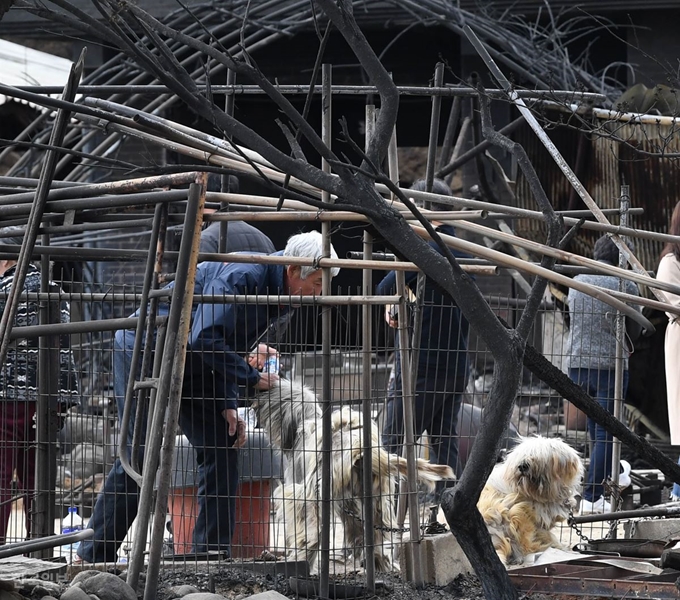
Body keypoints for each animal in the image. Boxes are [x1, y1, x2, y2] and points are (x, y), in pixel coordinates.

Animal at [252, 380, 454, 572]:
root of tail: (360, 448)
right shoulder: (347, 501)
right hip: (377, 498)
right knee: (376, 533)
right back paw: (379, 562)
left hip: (315, 494)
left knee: (314, 534)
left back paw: (304, 562)